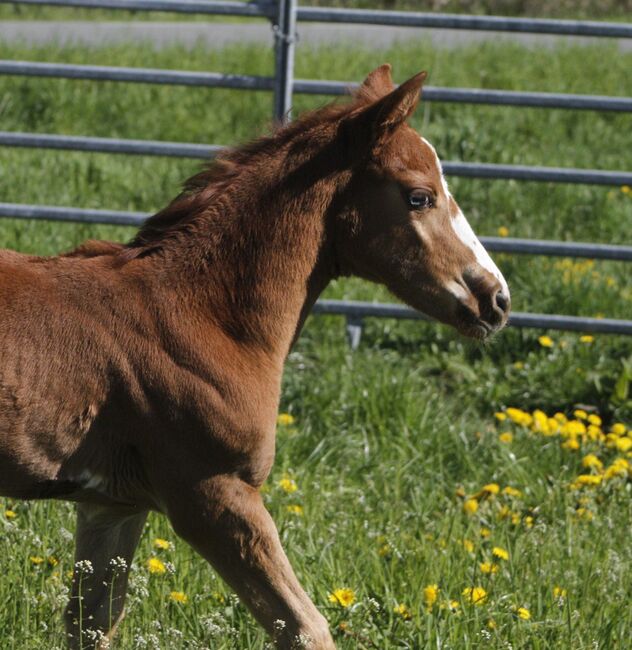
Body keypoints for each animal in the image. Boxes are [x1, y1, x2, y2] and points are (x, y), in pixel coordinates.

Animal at [0, 63, 508, 644]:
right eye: (419, 196)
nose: (496, 299)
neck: (201, 314)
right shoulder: (215, 494)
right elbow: (306, 627)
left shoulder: (111, 505)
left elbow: (93, 622)